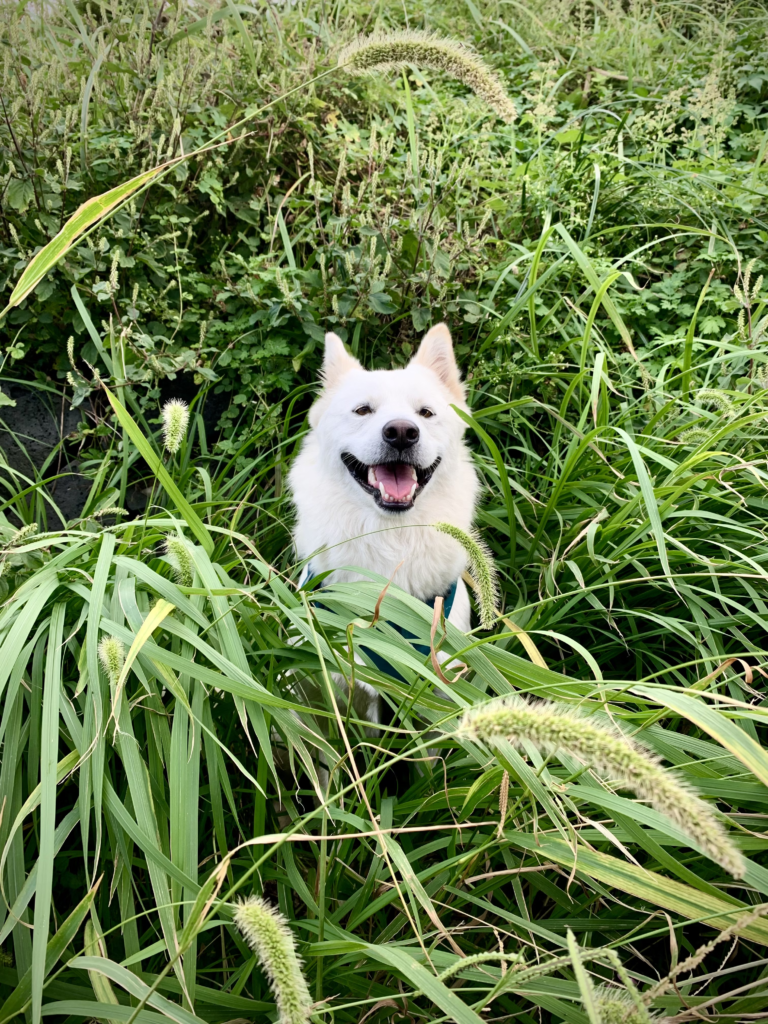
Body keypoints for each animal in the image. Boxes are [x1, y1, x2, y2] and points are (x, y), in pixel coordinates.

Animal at [288, 323, 479, 724]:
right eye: (363, 410)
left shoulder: (441, 691)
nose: (403, 432)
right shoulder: (316, 683)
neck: (393, 539)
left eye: (425, 412)